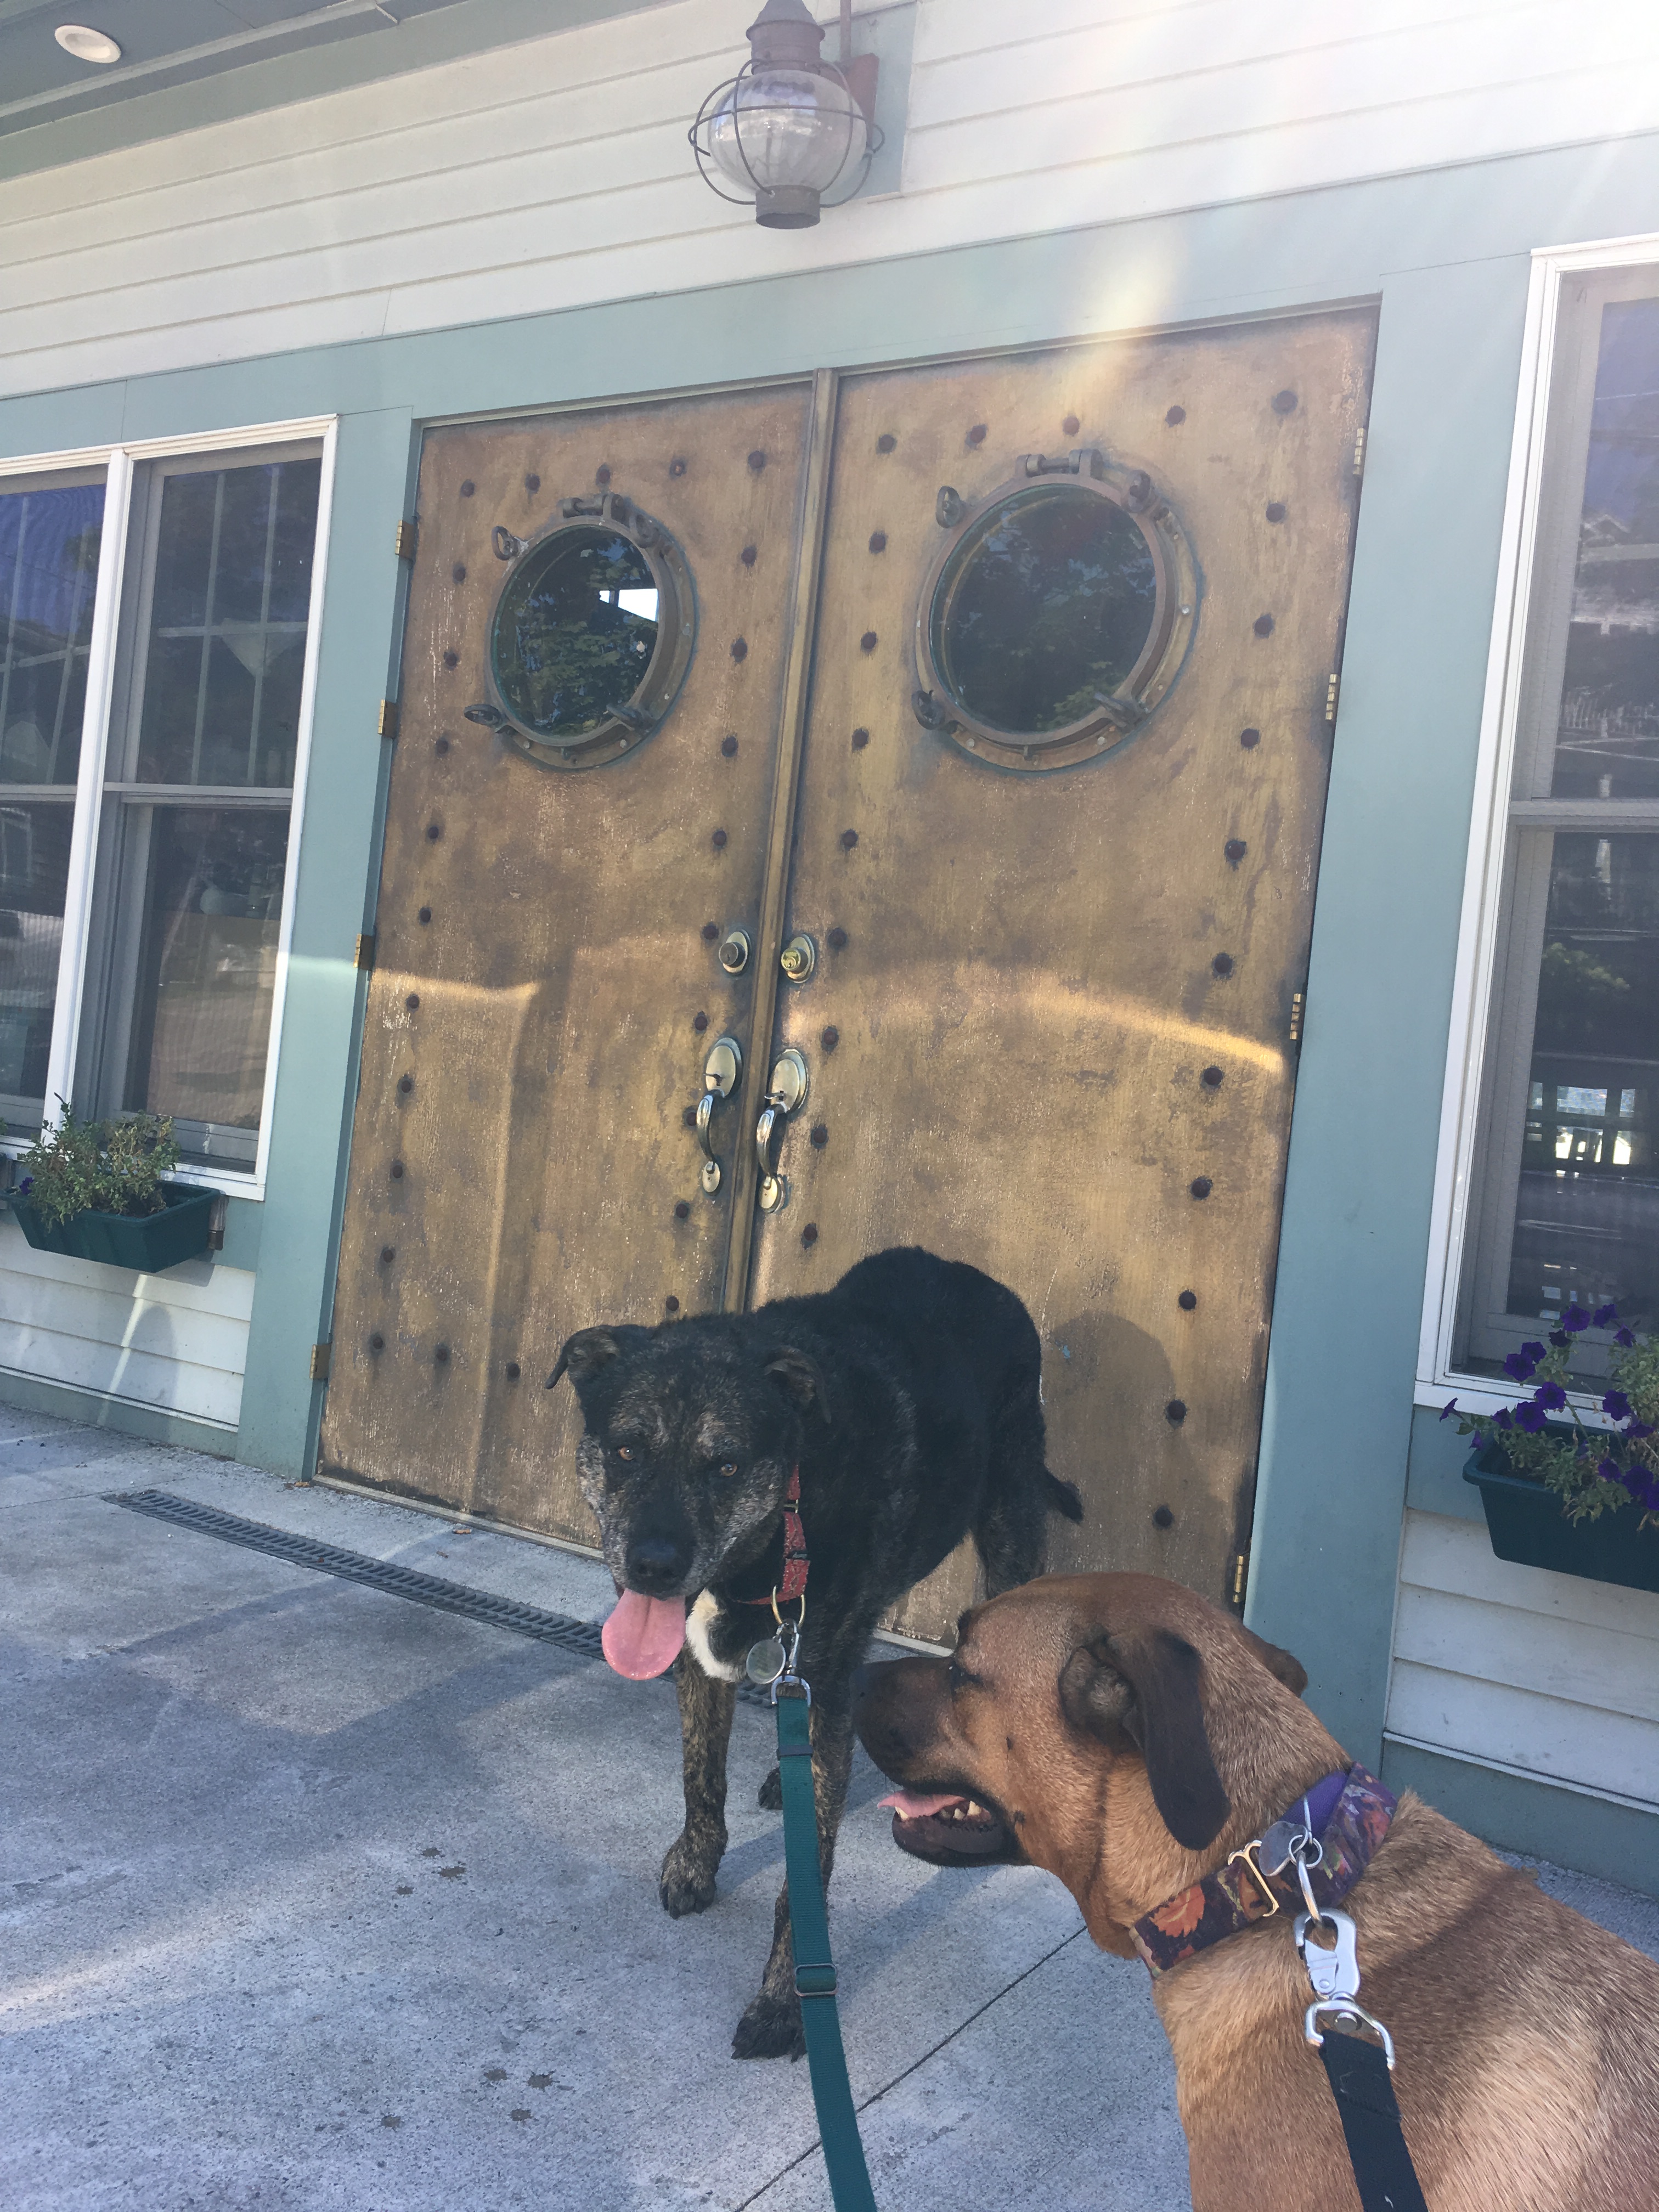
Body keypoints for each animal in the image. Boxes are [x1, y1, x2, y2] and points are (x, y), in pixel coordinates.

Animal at [547, 1245, 1082, 2059]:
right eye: (625, 1450)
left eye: (726, 1465)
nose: (653, 1568)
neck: (777, 1536)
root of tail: (975, 1274)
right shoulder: (705, 1662)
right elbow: (700, 1778)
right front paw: (695, 1864)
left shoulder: (817, 1665)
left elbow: (806, 1877)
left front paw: (781, 2003)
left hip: (1010, 1524)